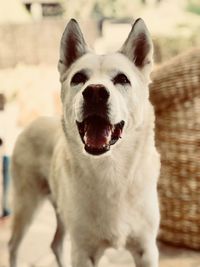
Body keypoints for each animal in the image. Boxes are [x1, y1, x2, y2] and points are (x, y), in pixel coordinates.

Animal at [8, 17, 160, 266]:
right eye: (78, 78)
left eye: (122, 79)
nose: (95, 92)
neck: (111, 172)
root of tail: (33, 121)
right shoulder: (83, 251)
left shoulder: (146, 249)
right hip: (27, 204)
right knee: (13, 245)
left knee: (55, 244)